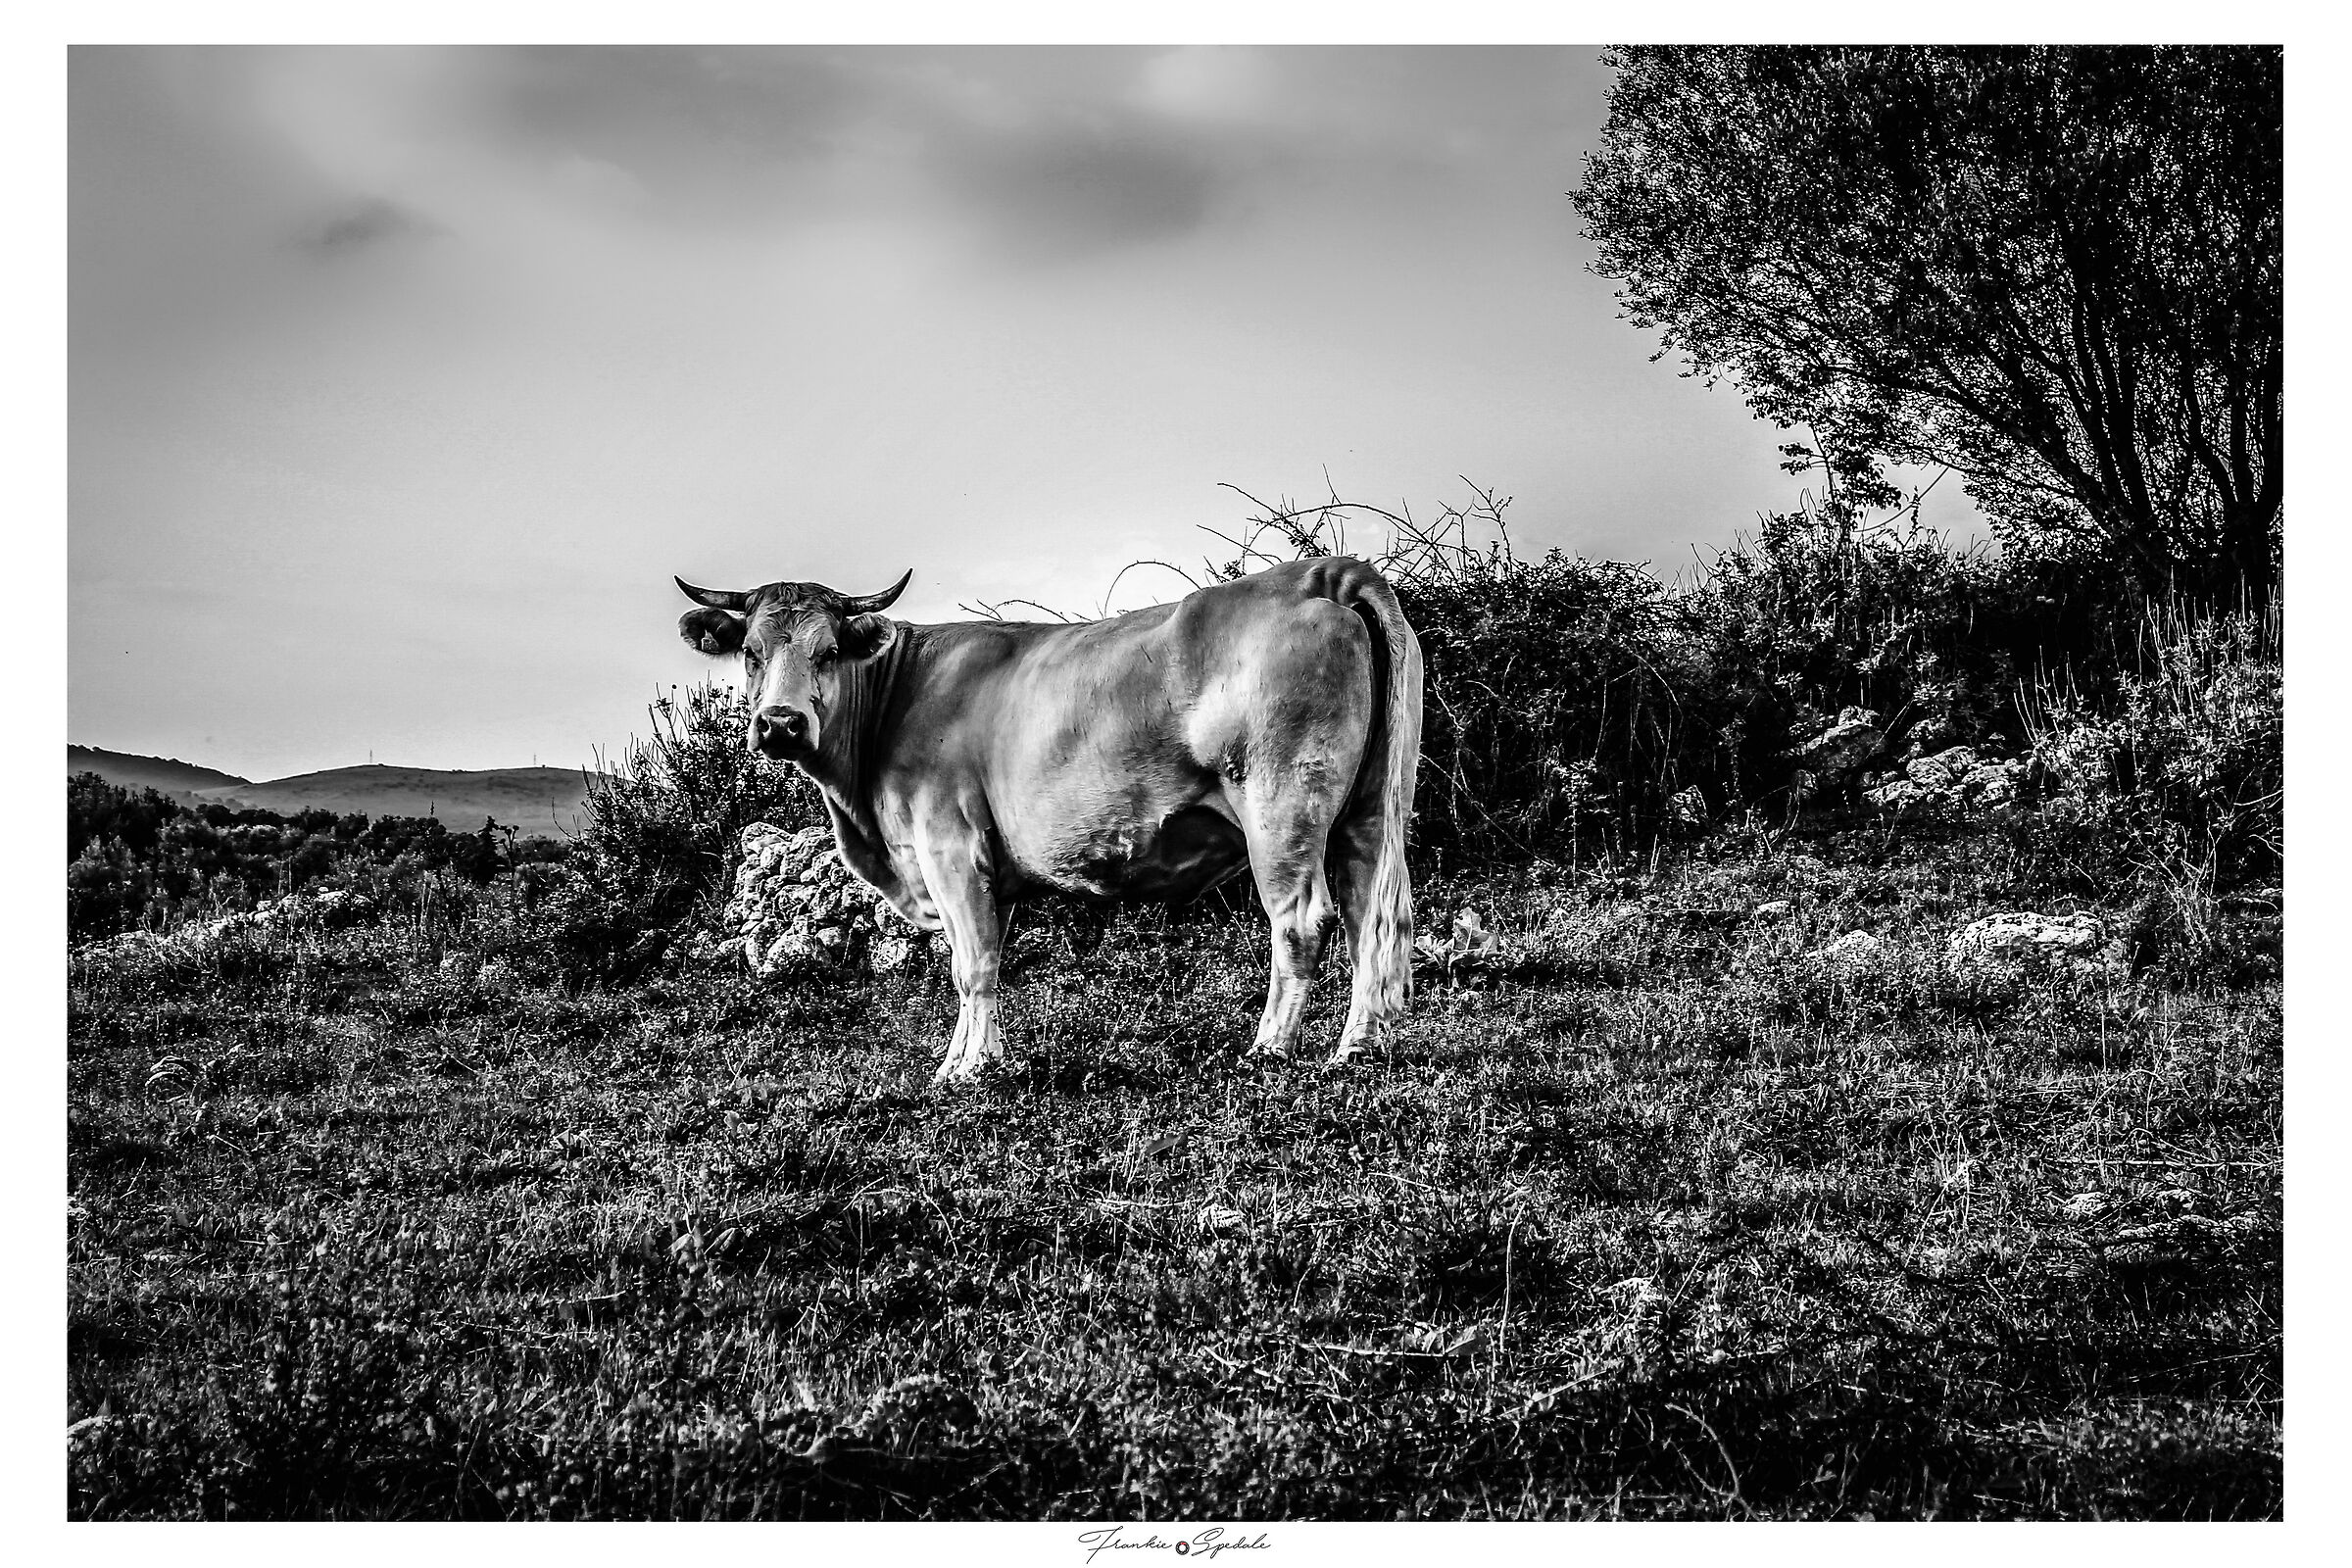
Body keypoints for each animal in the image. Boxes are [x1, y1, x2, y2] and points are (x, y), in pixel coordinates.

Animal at [675, 557, 1424, 1082]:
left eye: (828, 652)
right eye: (751, 653)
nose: (780, 723)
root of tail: (1320, 573)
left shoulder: (947, 846)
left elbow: (970, 965)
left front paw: (967, 1069)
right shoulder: (986, 869)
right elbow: (985, 957)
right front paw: (973, 1058)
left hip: (1280, 803)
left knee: (1303, 920)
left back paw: (1270, 1046)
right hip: (1369, 810)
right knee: (1374, 914)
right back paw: (1359, 1044)